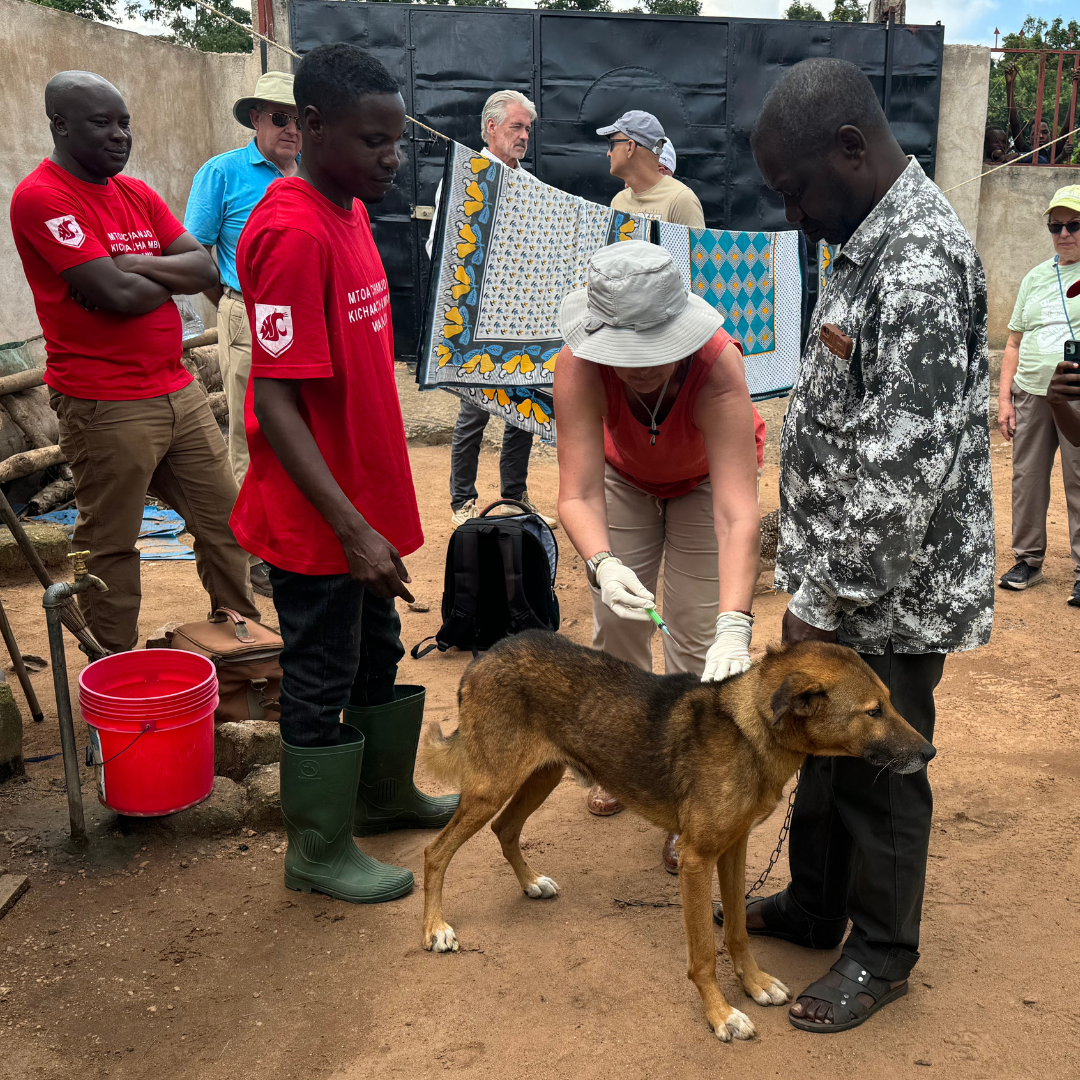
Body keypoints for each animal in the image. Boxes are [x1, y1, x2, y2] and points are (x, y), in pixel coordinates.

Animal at [421, 630, 937, 1036]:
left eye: (890, 702)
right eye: (873, 711)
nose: (929, 753)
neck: (750, 732)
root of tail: (485, 655)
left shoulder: (732, 849)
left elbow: (737, 931)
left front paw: (754, 984)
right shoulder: (696, 860)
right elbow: (704, 953)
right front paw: (721, 1014)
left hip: (541, 774)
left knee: (505, 827)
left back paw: (530, 883)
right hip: (493, 785)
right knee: (434, 851)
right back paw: (436, 929)